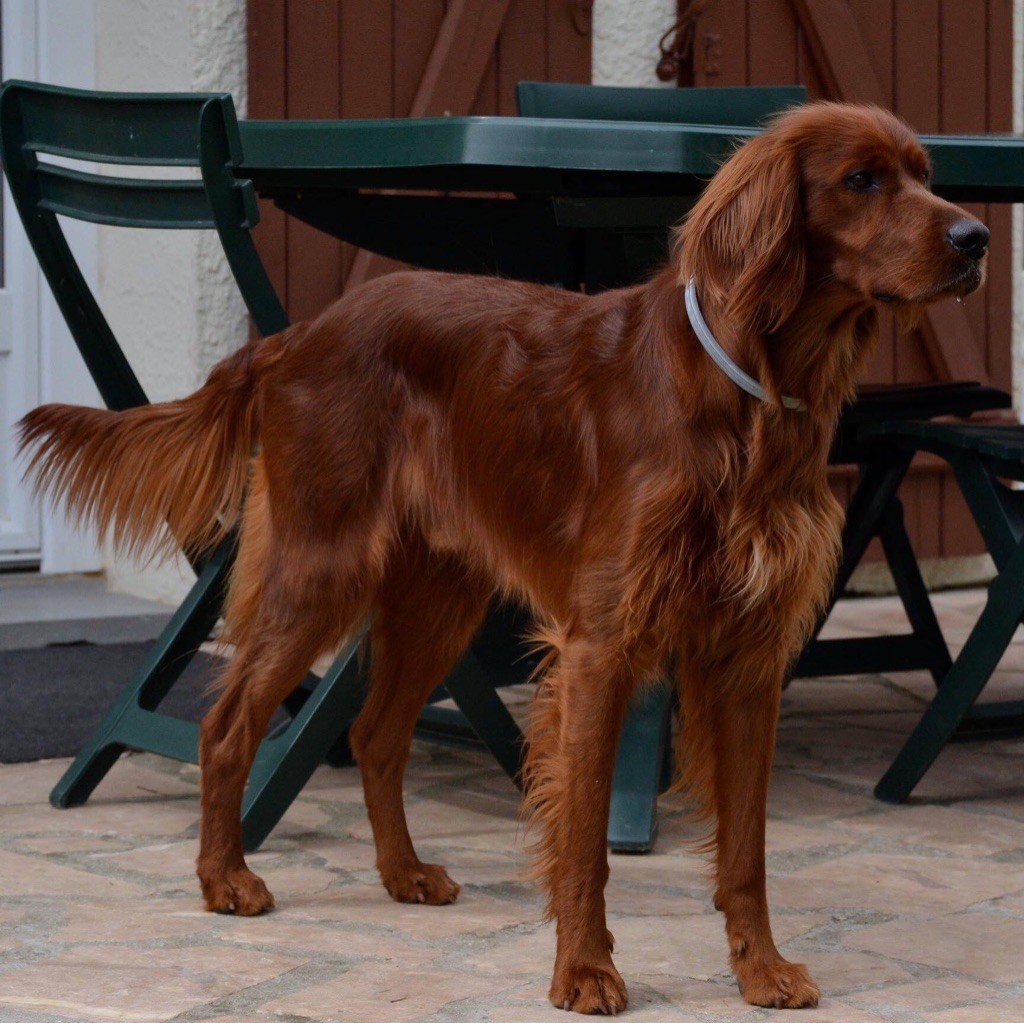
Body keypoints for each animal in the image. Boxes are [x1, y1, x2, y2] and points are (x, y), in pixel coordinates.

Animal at [19, 103, 987, 1015]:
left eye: (926, 174)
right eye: (861, 179)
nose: (976, 238)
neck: (749, 395)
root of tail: (295, 335)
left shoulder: (750, 656)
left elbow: (746, 846)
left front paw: (762, 970)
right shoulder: (602, 644)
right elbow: (587, 834)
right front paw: (584, 971)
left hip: (439, 597)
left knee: (375, 732)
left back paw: (403, 872)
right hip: (322, 563)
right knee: (228, 725)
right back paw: (226, 878)